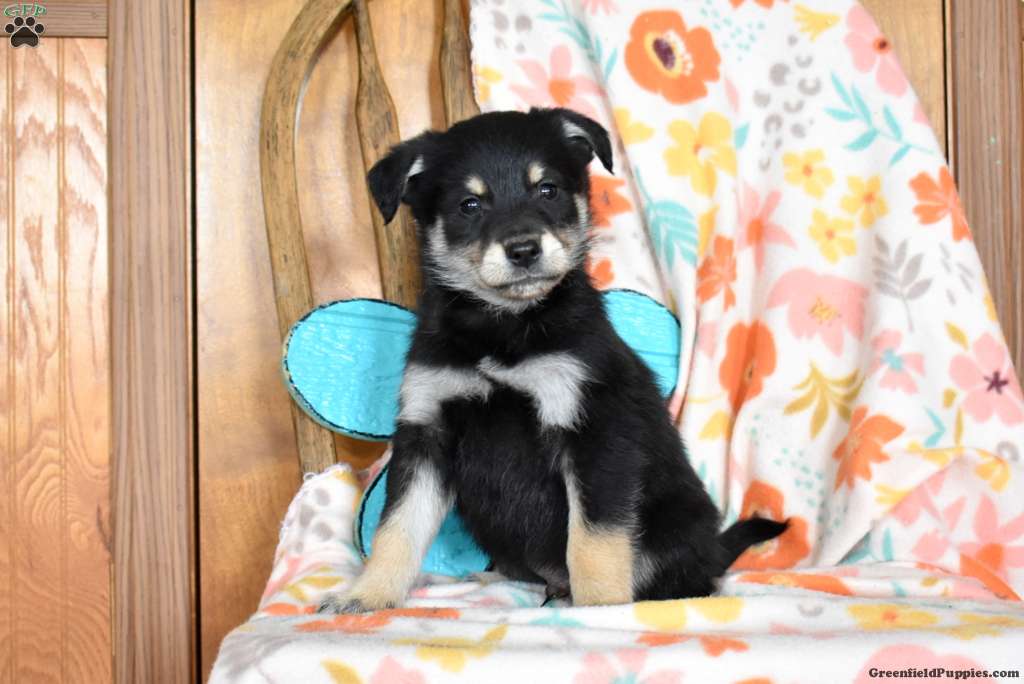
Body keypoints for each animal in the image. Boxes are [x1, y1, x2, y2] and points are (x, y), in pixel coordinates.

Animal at [318, 107, 786, 613]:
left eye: (548, 190)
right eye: (469, 204)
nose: (524, 249)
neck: (503, 328)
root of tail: (714, 547)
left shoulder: (593, 433)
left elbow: (593, 541)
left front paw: (600, 608)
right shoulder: (427, 432)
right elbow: (397, 528)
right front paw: (366, 595)